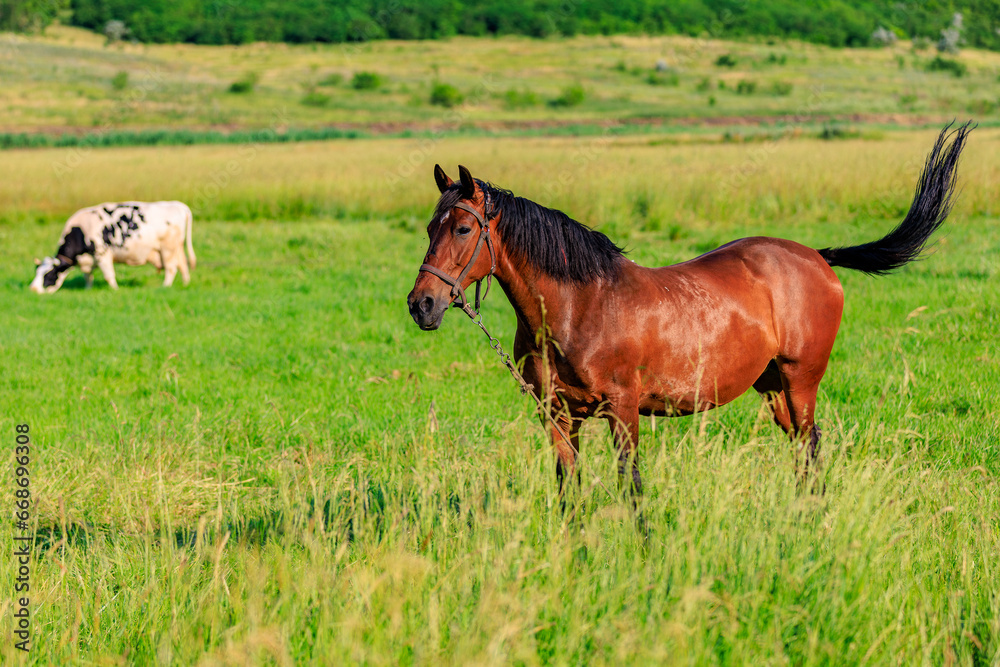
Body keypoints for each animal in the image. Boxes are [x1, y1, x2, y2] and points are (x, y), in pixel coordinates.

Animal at [407, 123, 971, 497]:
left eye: (463, 228)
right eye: (430, 228)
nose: (421, 305)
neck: (578, 307)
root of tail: (815, 256)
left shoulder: (623, 410)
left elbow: (631, 485)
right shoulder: (559, 417)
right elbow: (569, 490)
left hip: (801, 381)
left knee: (811, 450)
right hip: (773, 389)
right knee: (799, 451)